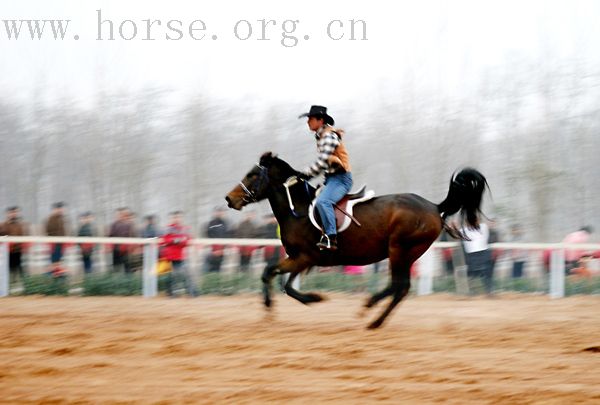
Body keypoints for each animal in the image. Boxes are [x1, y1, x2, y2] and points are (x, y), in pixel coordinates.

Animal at [225, 152, 488, 328]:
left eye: (252, 175)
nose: (229, 198)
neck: (297, 209)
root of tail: (434, 207)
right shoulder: (303, 259)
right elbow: (284, 283)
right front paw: (312, 298)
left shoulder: (304, 257)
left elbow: (271, 273)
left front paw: (274, 306)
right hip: (404, 253)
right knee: (399, 288)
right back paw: (373, 315)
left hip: (401, 250)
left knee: (399, 286)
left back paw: (370, 312)